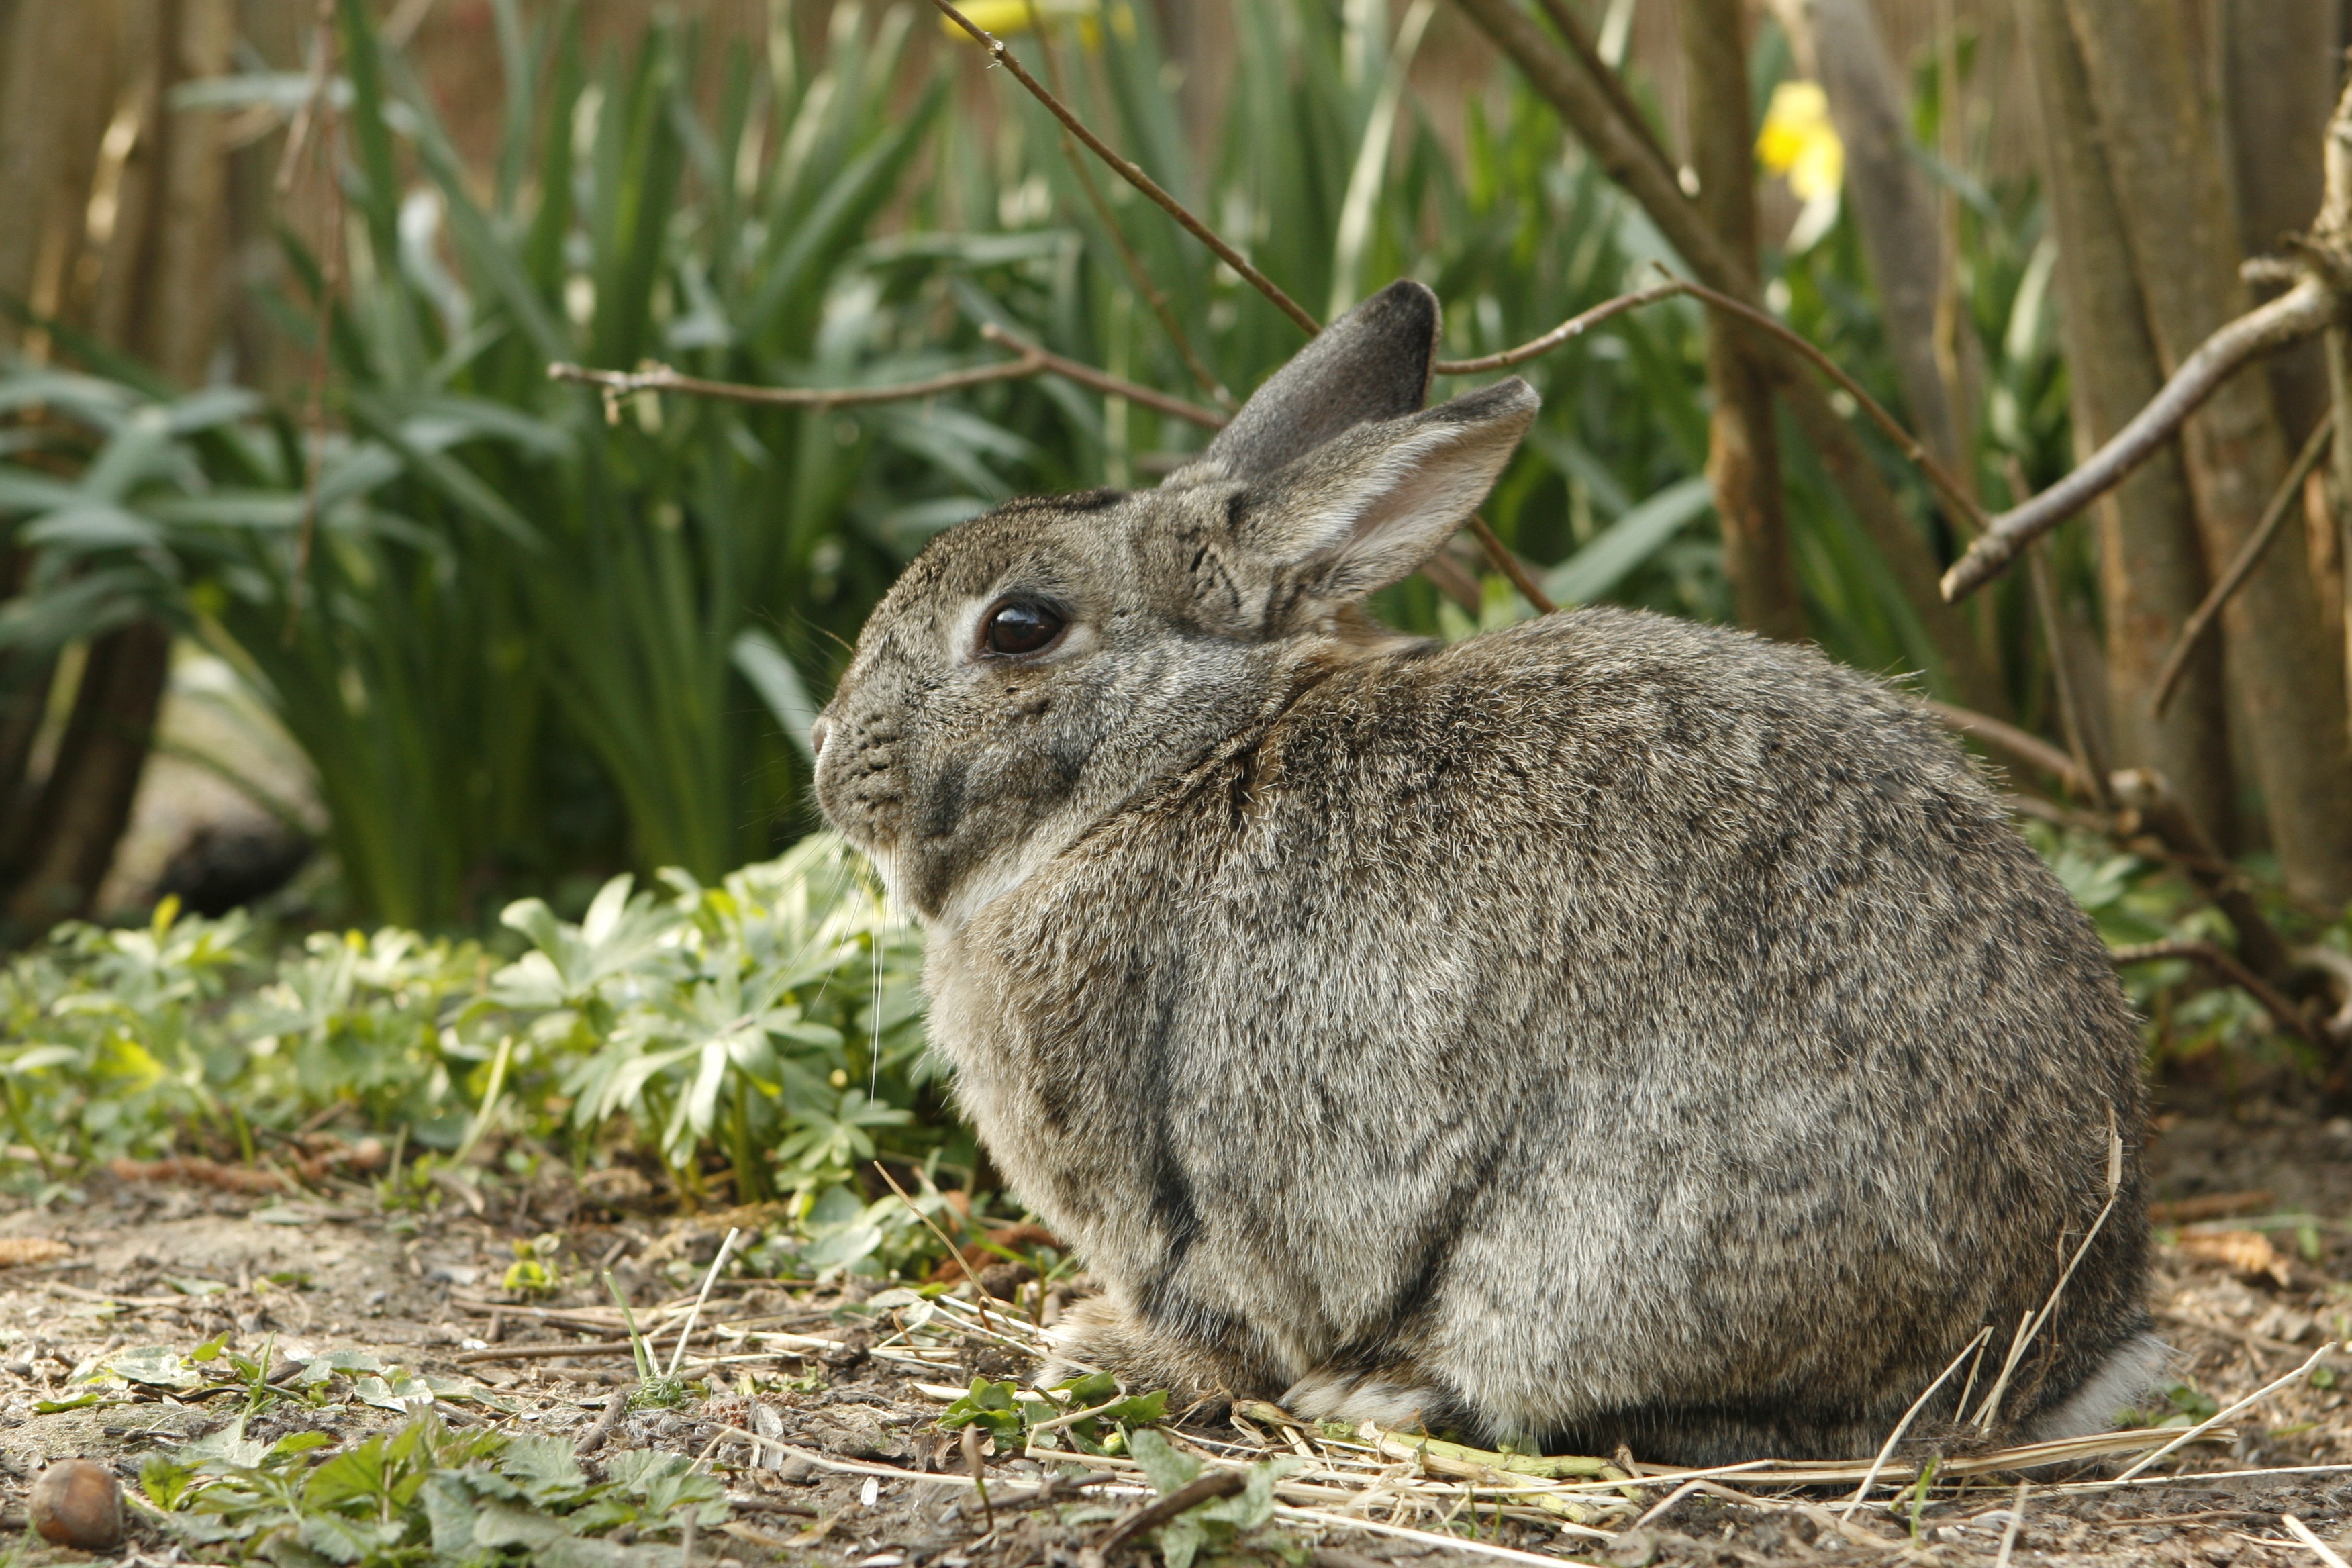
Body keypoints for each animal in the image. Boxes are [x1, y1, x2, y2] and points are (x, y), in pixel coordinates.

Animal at [809, 276, 2154, 1467]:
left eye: (1019, 628)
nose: (826, 758)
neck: (1179, 761)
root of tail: (2064, 1350)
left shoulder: (1174, 1187)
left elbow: (1218, 1313)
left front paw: (1099, 1350)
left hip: (1600, 1253)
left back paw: (1388, 1393)